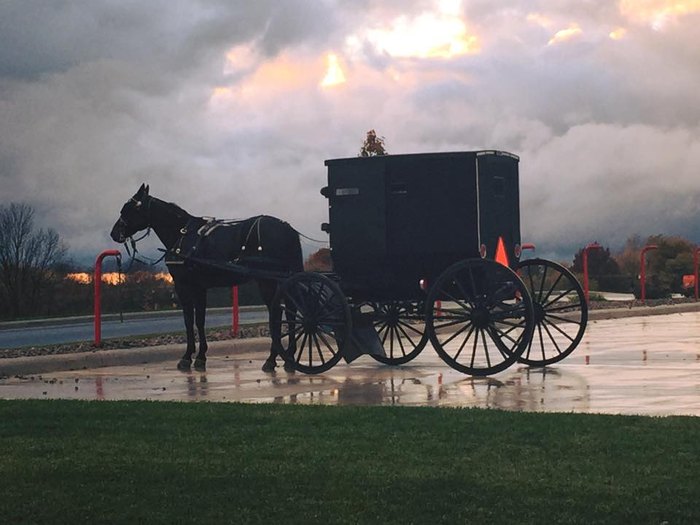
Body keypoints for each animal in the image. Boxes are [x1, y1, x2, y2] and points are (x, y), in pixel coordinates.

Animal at [110, 184, 302, 372]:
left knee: (277, 313)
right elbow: (200, 320)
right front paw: (200, 356)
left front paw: (188, 357)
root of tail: (287, 228)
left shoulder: (184, 285)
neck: (182, 234)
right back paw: (289, 357)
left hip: (267, 281)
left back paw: (272, 359)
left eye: (127, 209)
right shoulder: (200, 287)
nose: (114, 233)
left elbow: (189, 320)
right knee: (289, 311)